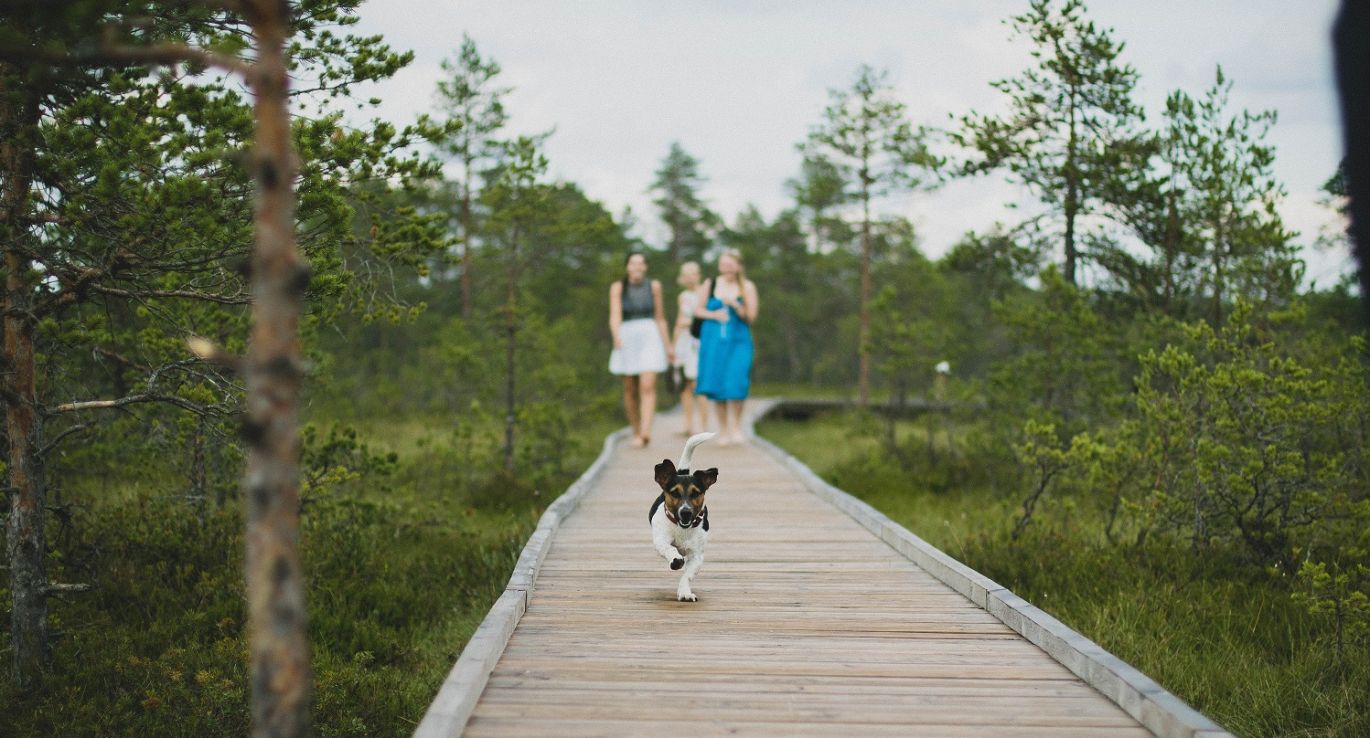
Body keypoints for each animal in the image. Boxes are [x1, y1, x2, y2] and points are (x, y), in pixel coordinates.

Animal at [649, 432, 723, 599]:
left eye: (695, 493)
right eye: (675, 493)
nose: (686, 512)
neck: (682, 528)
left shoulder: (697, 556)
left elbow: (687, 575)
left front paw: (684, 592)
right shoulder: (660, 540)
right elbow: (670, 550)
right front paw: (676, 560)